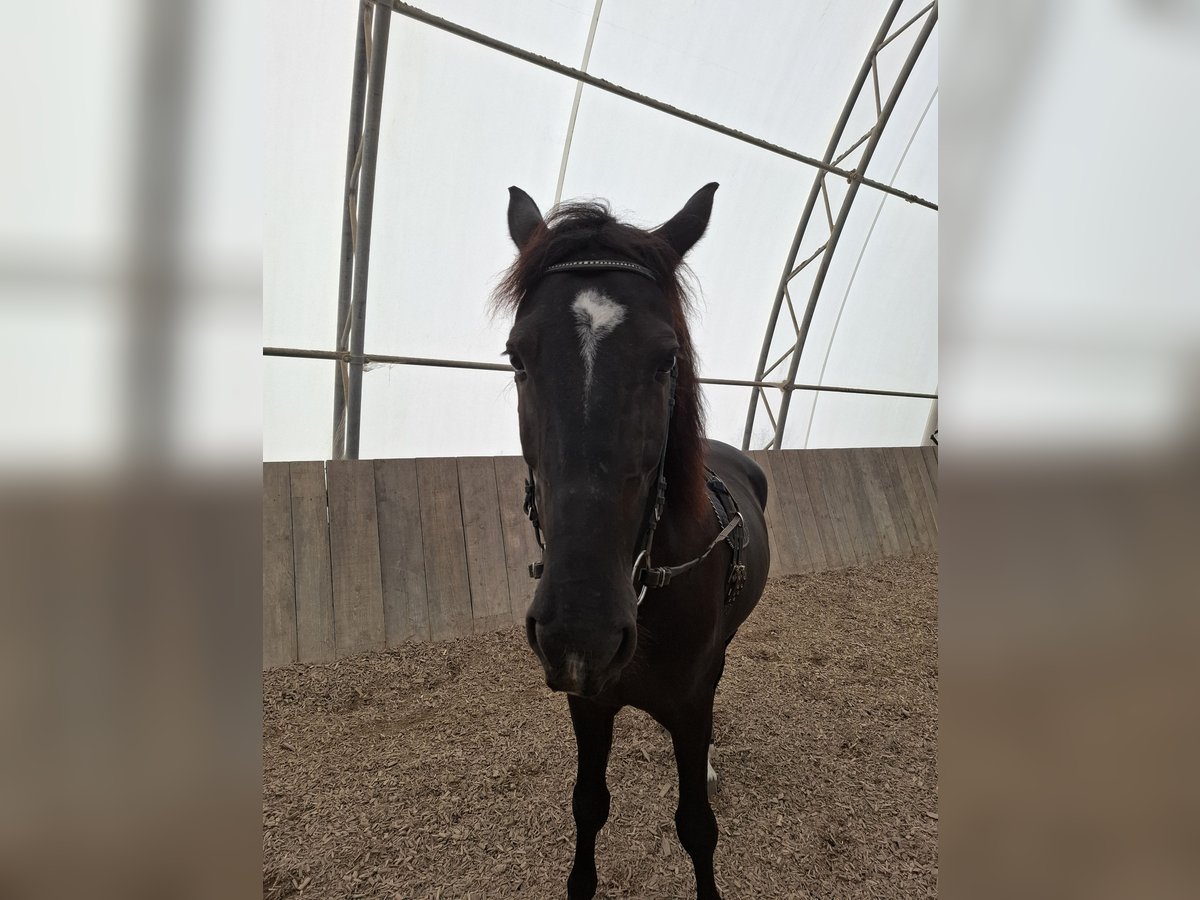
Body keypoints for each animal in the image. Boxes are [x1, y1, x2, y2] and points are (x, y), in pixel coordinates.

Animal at [494, 184, 768, 900]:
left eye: (667, 358)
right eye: (516, 356)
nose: (580, 631)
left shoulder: (691, 705)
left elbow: (697, 826)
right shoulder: (589, 704)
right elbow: (589, 806)